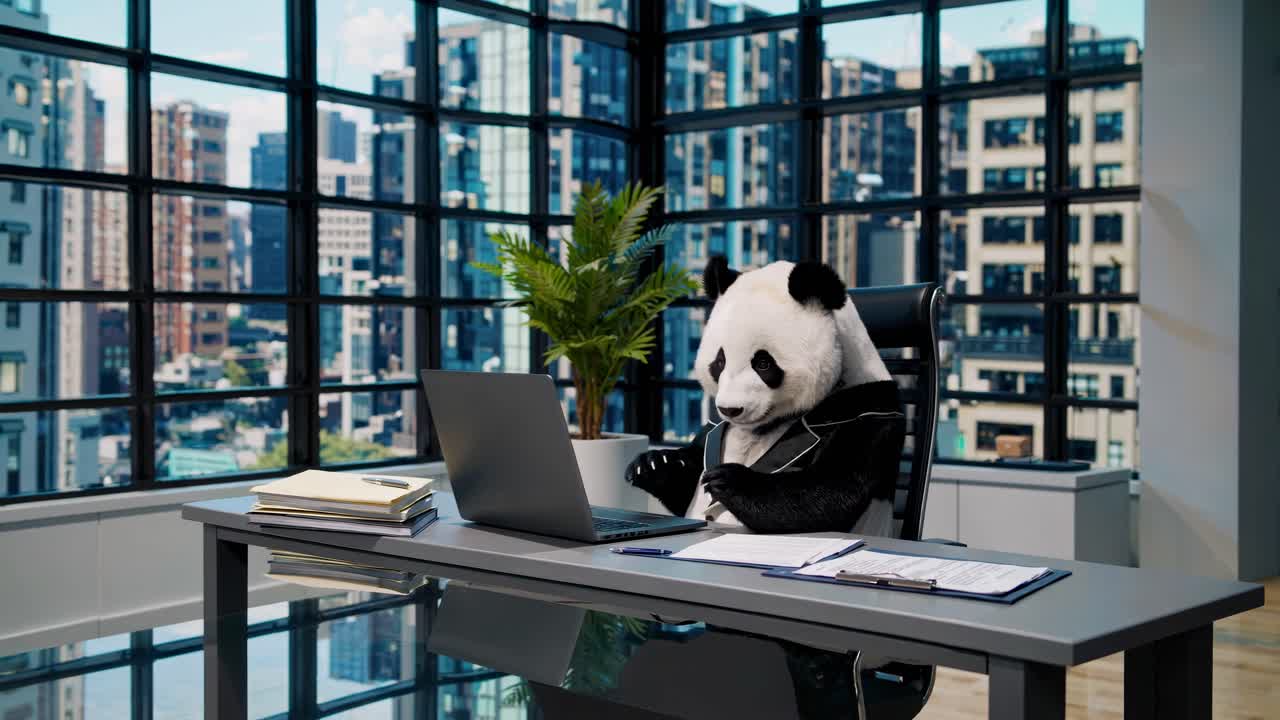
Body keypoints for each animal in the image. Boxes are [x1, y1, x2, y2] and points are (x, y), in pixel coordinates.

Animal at [627, 255, 906, 536]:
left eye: (763, 363)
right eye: (719, 362)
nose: (730, 409)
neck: (758, 428)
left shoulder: (863, 410)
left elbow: (828, 492)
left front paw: (729, 480)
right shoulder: (713, 429)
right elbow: (687, 481)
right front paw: (655, 463)